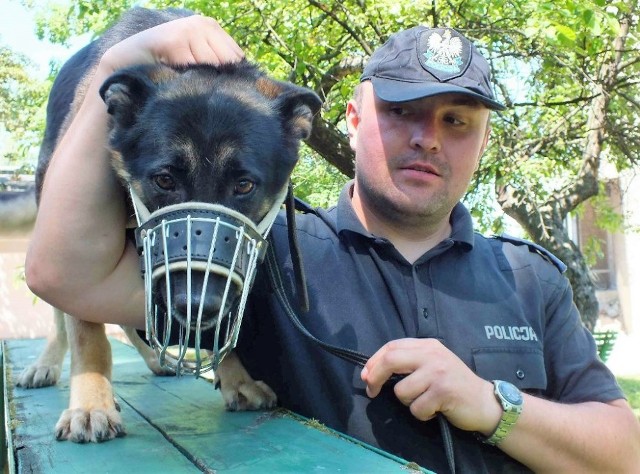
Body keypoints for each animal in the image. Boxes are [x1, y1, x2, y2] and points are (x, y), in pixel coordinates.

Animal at [16, 7, 320, 444]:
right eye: (164, 180)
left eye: (244, 185)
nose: (196, 308)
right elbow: (87, 333)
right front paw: (90, 404)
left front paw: (237, 378)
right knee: (63, 314)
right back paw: (47, 364)